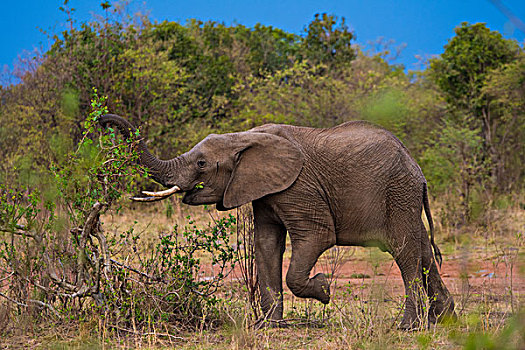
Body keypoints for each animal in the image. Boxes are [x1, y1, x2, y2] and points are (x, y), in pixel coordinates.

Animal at [99, 114, 454, 328]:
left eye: (201, 163)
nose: (103, 122)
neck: (242, 138)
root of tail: (417, 170)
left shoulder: (298, 188)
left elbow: (315, 239)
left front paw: (324, 289)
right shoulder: (263, 191)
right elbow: (266, 245)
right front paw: (267, 326)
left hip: (397, 193)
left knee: (405, 252)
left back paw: (408, 327)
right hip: (405, 197)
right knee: (423, 250)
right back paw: (444, 319)